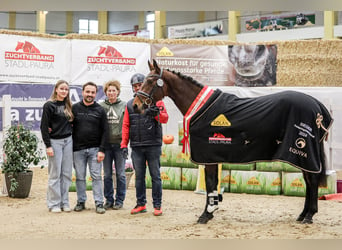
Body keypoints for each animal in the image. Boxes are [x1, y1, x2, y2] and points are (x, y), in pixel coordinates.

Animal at [132, 59, 332, 225]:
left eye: (150, 81)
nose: (135, 105)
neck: (202, 108)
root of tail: (318, 107)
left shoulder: (208, 157)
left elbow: (210, 184)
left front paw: (206, 214)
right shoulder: (211, 158)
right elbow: (212, 185)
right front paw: (211, 212)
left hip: (301, 152)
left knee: (312, 180)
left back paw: (309, 216)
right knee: (308, 181)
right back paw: (302, 215)